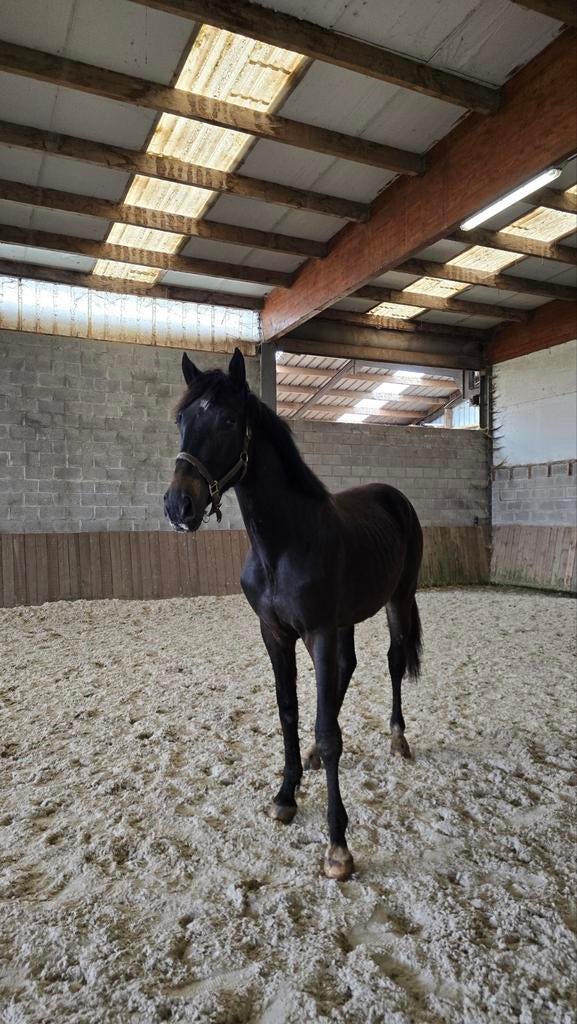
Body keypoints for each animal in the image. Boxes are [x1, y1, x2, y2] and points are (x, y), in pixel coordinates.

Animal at [164, 349, 423, 881]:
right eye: (181, 419)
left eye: (227, 420)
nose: (180, 505)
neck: (282, 544)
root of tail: (395, 497)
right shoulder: (276, 635)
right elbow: (289, 712)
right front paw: (286, 795)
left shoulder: (318, 632)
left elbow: (329, 732)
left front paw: (338, 845)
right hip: (347, 620)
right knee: (347, 668)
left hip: (398, 600)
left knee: (391, 661)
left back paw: (397, 739)